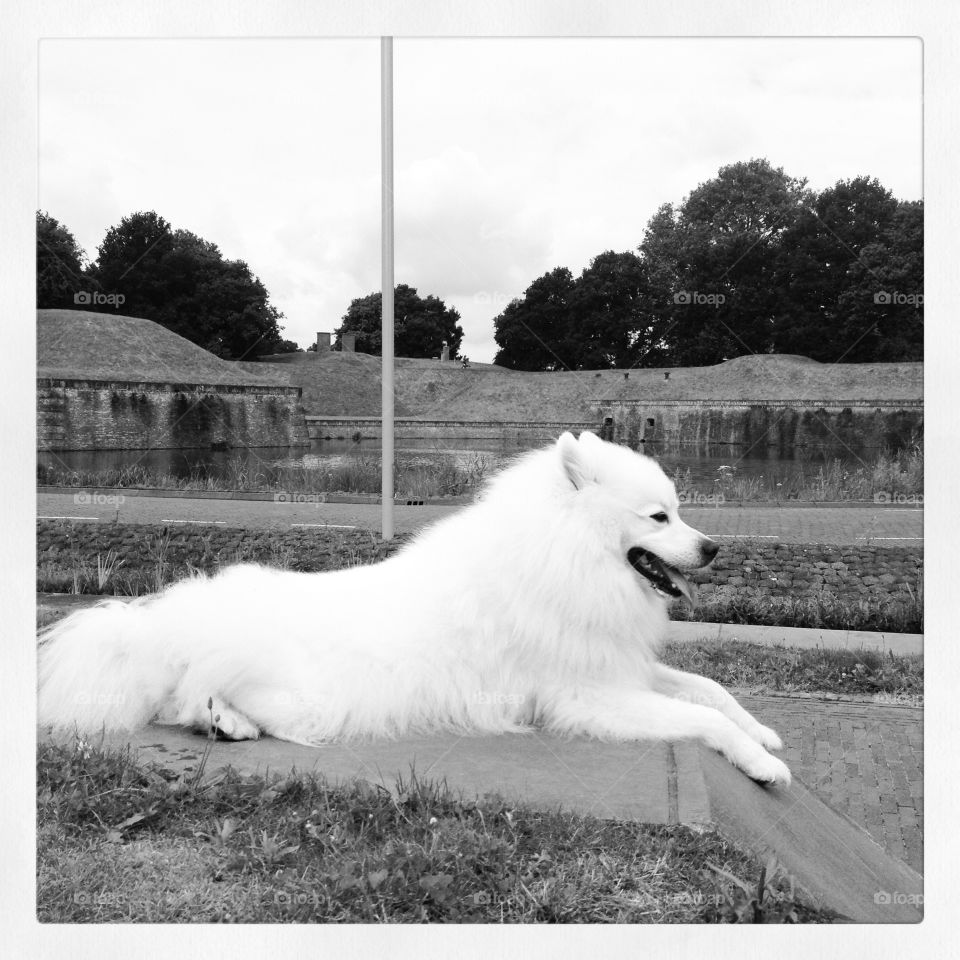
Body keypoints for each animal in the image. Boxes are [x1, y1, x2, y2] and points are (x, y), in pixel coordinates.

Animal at [37, 432, 788, 784]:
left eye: (682, 512)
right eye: (660, 517)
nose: (714, 547)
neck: (563, 560)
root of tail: (159, 621)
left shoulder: (619, 664)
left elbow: (707, 688)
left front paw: (762, 731)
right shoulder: (586, 694)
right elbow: (698, 717)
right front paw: (761, 763)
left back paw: (229, 724)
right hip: (304, 690)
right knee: (195, 696)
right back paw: (229, 720)